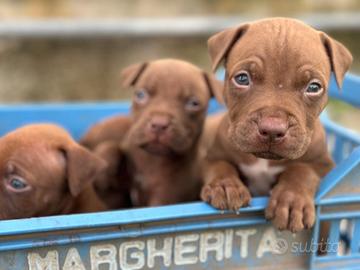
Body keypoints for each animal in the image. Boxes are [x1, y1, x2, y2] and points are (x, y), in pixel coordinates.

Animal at [81, 58, 222, 207]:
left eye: (193, 103)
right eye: (140, 94)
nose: (159, 124)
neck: (152, 161)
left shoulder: (164, 198)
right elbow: (110, 146)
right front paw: (103, 170)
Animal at [201, 17, 352, 232]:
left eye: (314, 87)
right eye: (242, 78)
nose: (272, 129)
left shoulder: (323, 165)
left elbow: (302, 171)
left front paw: (291, 201)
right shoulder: (212, 155)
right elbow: (220, 166)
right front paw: (225, 186)